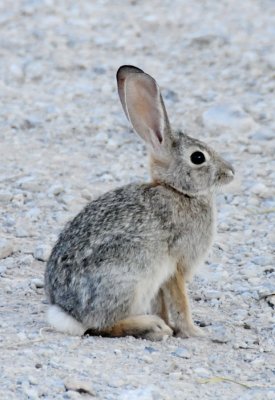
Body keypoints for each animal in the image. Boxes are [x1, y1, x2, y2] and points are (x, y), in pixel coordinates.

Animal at [44, 65, 235, 340]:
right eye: (198, 157)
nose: (230, 172)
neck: (178, 191)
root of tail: (69, 313)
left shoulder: (163, 278)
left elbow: (163, 303)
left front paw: (174, 326)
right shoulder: (176, 266)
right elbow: (180, 303)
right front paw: (194, 332)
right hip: (130, 277)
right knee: (101, 325)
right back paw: (151, 327)